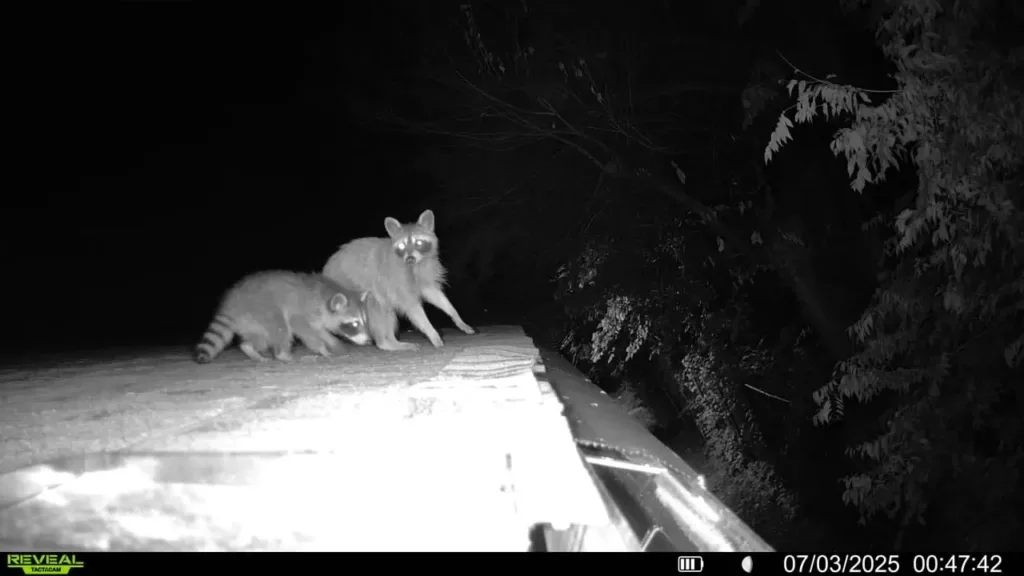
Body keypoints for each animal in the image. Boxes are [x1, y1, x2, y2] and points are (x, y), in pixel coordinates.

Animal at [194, 270, 371, 364]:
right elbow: (302, 327)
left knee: (257, 339)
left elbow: (321, 332)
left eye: (364, 322)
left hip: (250, 321)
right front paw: (322, 349)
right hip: (261, 308)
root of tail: (231, 304)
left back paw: (249, 349)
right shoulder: (304, 312)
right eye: (354, 324)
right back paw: (282, 354)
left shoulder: (319, 319)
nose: (369, 341)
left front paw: (335, 344)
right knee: (280, 328)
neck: (325, 294)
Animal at [322, 209, 475, 351]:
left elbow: (434, 295)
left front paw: (456, 316)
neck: (412, 265)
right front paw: (432, 333)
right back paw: (385, 343)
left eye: (418, 242)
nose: (410, 258)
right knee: (375, 305)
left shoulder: (423, 274)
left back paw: (393, 341)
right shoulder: (397, 279)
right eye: (402, 246)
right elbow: (414, 309)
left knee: (387, 311)